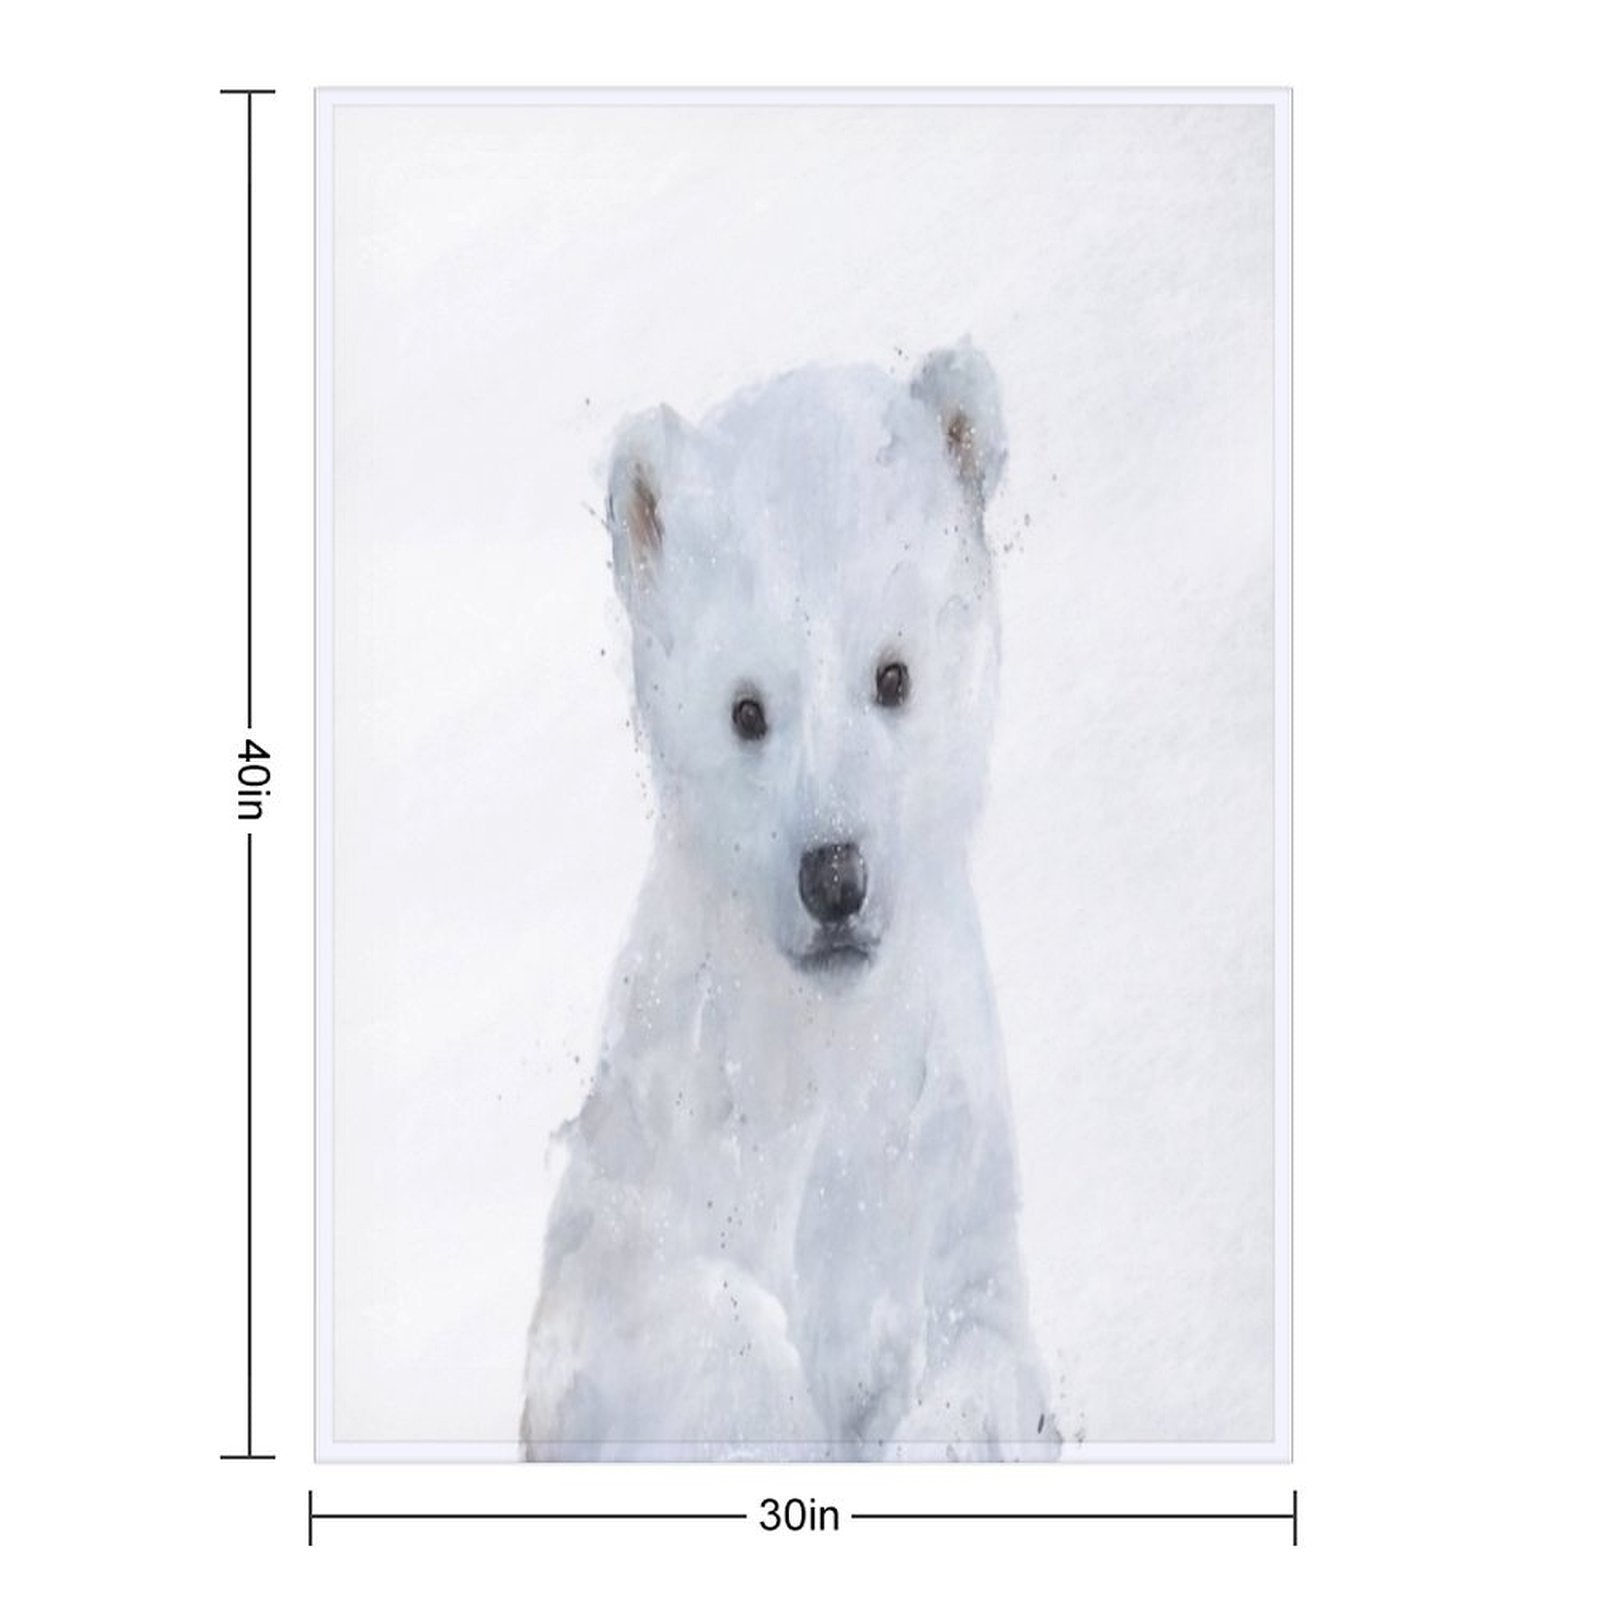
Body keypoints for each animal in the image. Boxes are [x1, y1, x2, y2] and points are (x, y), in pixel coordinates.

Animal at [520, 344, 1057, 1460]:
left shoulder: (953, 1165)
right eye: (746, 709)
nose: (834, 878)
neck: (826, 1043)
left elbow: (987, 1351)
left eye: (892, 675)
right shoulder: (656, 1165)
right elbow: (676, 1333)